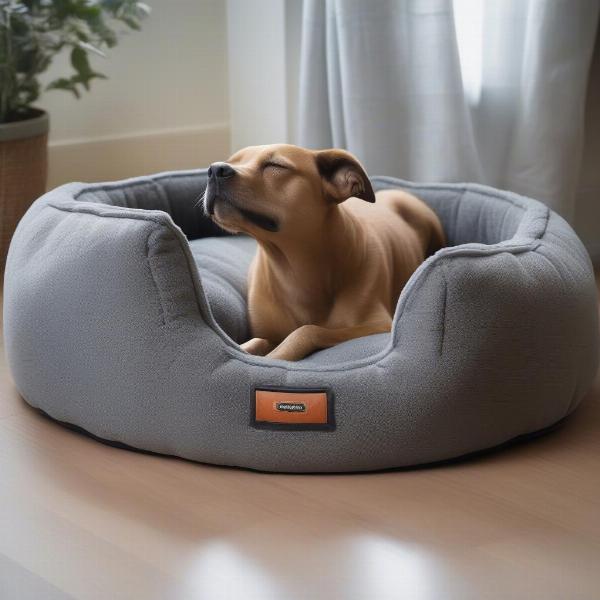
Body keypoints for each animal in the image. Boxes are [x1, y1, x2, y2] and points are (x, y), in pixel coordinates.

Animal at [204, 145, 442, 360]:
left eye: (276, 165)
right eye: (233, 160)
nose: (215, 169)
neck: (294, 268)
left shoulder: (377, 325)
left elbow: (308, 330)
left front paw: (276, 356)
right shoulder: (267, 332)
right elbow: (257, 340)